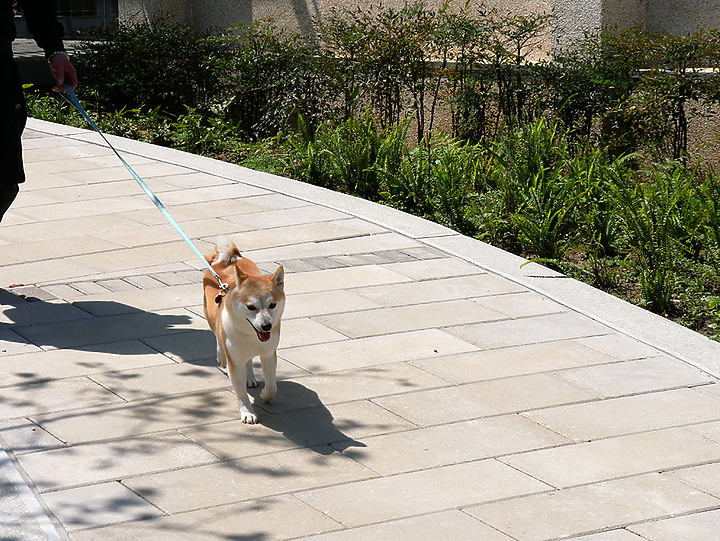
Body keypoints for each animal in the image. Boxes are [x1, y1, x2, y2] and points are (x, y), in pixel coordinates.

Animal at [202, 236, 284, 422]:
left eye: (272, 305)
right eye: (250, 307)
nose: (266, 326)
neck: (250, 335)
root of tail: (230, 259)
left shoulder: (269, 354)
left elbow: (272, 385)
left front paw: (265, 395)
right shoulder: (234, 360)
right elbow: (240, 392)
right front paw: (247, 412)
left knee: (249, 361)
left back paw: (251, 378)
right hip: (210, 315)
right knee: (217, 335)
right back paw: (221, 357)